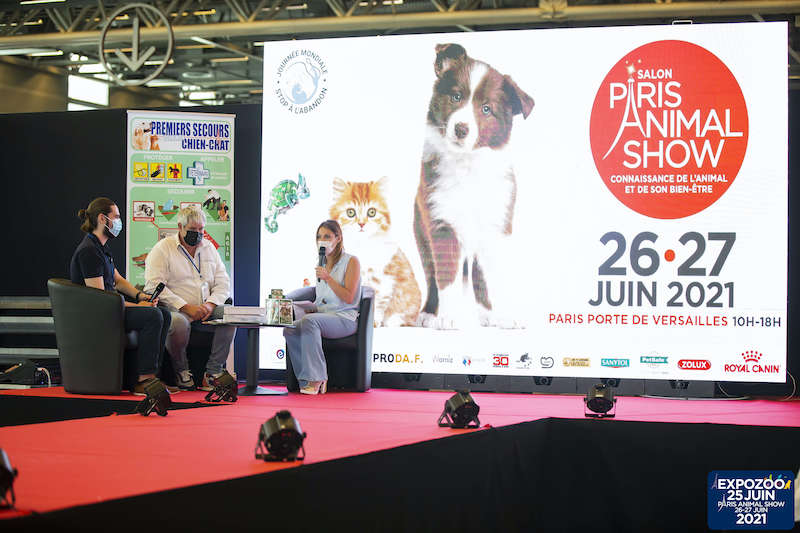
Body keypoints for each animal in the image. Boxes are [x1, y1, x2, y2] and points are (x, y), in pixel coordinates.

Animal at [416, 44, 536, 328]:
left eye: (486, 109)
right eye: (456, 96)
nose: (461, 129)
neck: (467, 164)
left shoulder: (496, 225)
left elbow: (490, 277)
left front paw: (502, 315)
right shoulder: (441, 223)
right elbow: (446, 275)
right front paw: (448, 318)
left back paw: (486, 314)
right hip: (420, 231)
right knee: (431, 276)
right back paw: (430, 313)